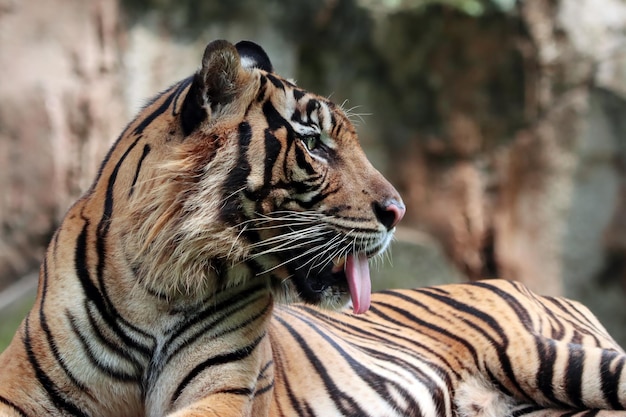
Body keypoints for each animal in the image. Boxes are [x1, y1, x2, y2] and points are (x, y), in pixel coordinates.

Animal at [1, 39, 624, 416]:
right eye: (316, 143)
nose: (399, 212)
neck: (157, 285)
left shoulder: (223, 389)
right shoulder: (23, 390)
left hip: (547, 357)